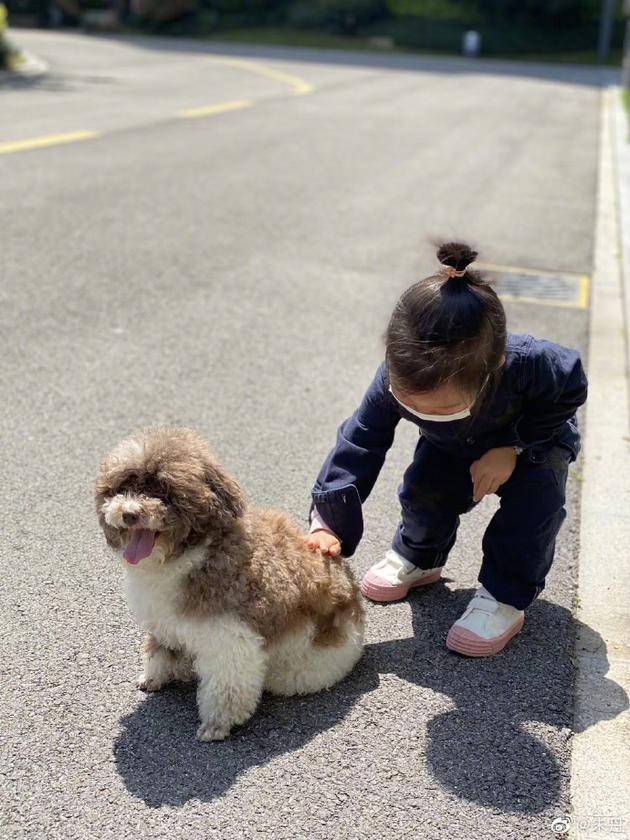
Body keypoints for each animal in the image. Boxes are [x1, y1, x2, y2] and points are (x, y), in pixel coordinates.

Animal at [96, 430, 368, 740]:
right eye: (124, 486)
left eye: (164, 492)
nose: (129, 513)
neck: (193, 554)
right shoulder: (162, 621)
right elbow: (160, 649)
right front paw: (155, 677)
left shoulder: (230, 639)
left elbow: (226, 687)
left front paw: (217, 725)